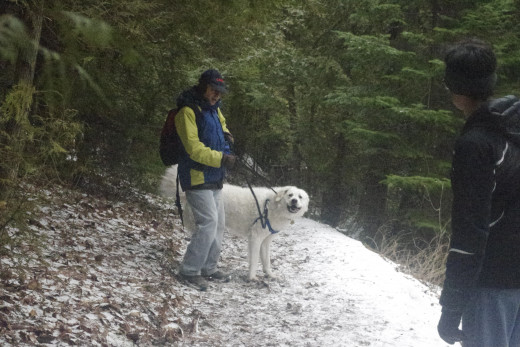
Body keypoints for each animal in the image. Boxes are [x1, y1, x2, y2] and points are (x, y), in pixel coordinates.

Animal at [160, 164, 308, 282]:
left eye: (300, 197)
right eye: (290, 195)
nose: (294, 201)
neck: (272, 205)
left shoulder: (266, 241)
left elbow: (266, 261)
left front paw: (270, 275)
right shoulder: (255, 238)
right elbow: (254, 260)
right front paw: (252, 277)